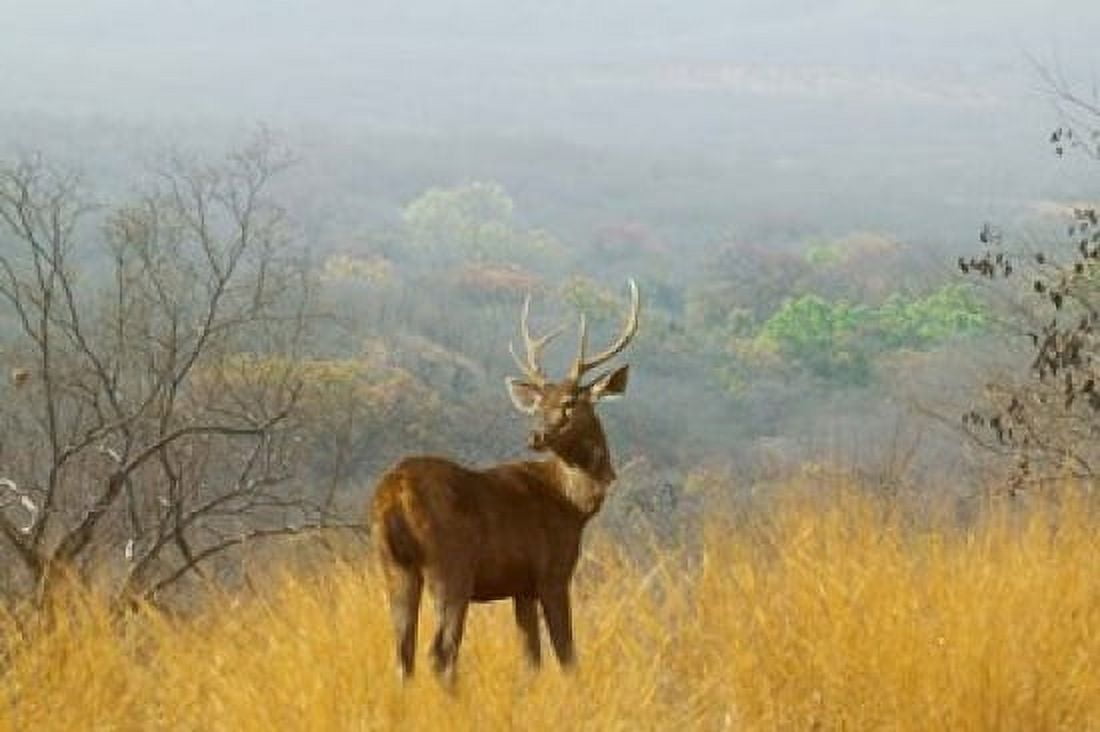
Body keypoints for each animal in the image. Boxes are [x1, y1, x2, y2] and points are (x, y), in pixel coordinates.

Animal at [369, 279, 640, 683]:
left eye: (570, 402)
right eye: (540, 404)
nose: (536, 435)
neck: (572, 506)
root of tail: (394, 492)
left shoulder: (520, 586)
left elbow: (531, 660)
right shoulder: (552, 572)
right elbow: (566, 654)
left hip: (394, 565)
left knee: (403, 654)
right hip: (451, 565)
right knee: (441, 651)